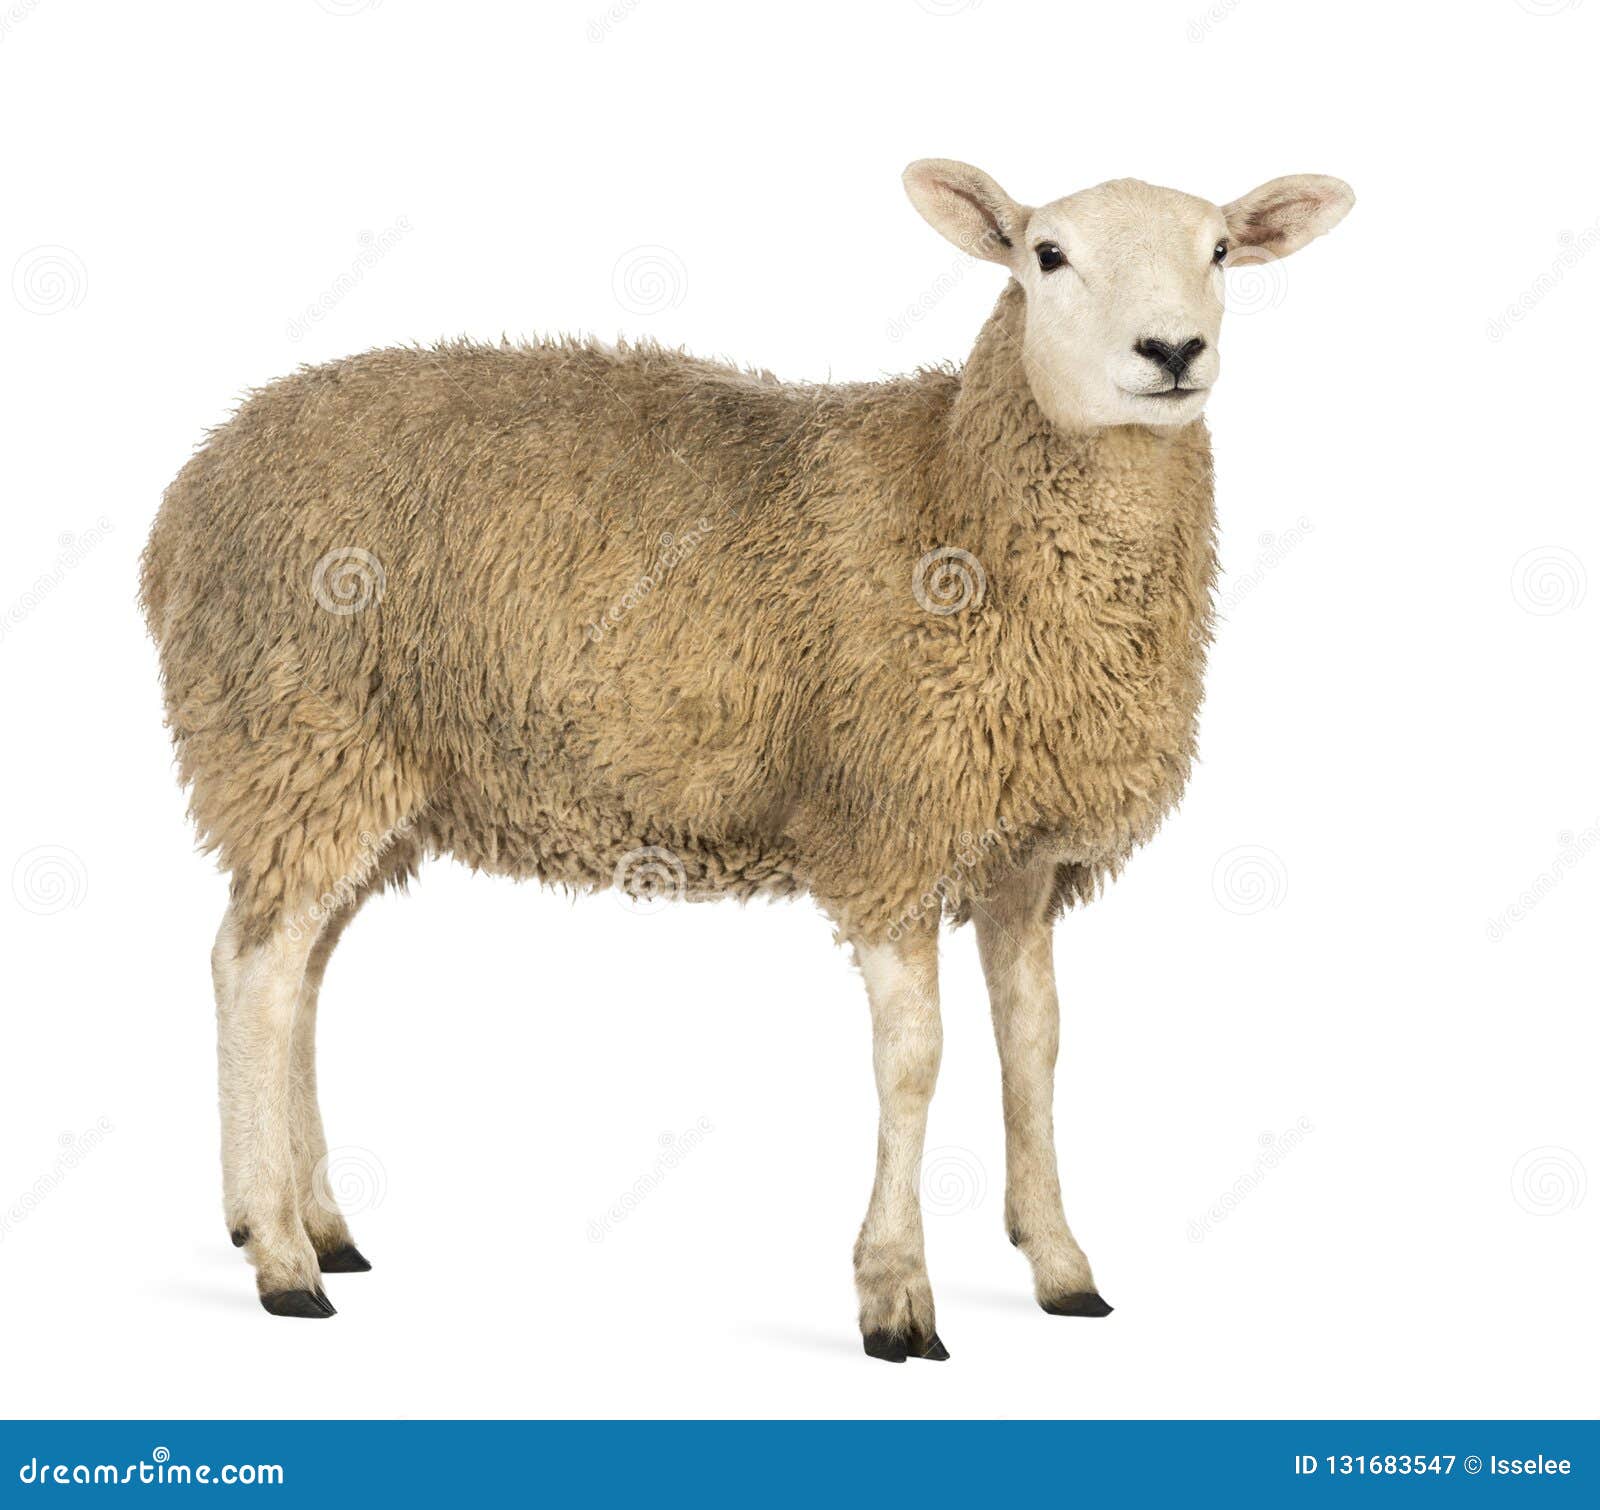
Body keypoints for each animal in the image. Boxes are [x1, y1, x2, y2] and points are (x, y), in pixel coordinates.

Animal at [144, 159, 1356, 1350]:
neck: (955, 486)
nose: (1172, 351)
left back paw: (313, 1222)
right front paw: (894, 1294)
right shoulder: (887, 824)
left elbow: (1036, 1047)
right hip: (295, 734)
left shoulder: (1021, 850)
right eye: (1045, 255)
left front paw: (1059, 1265)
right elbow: (914, 1058)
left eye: (1218, 250)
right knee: (251, 972)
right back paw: (282, 1260)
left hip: (366, 781)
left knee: (299, 974)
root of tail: (198, 479)